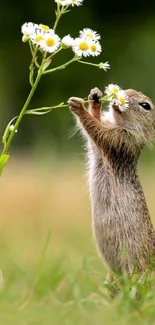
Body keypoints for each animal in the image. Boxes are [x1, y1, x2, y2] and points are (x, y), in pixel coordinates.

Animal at [68, 87, 155, 274]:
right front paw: (95, 98)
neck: (119, 123)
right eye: (130, 90)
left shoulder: (122, 140)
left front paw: (79, 107)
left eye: (146, 105)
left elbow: (97, 130)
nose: (123, 92)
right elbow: (95, 133)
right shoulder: (103, 145)